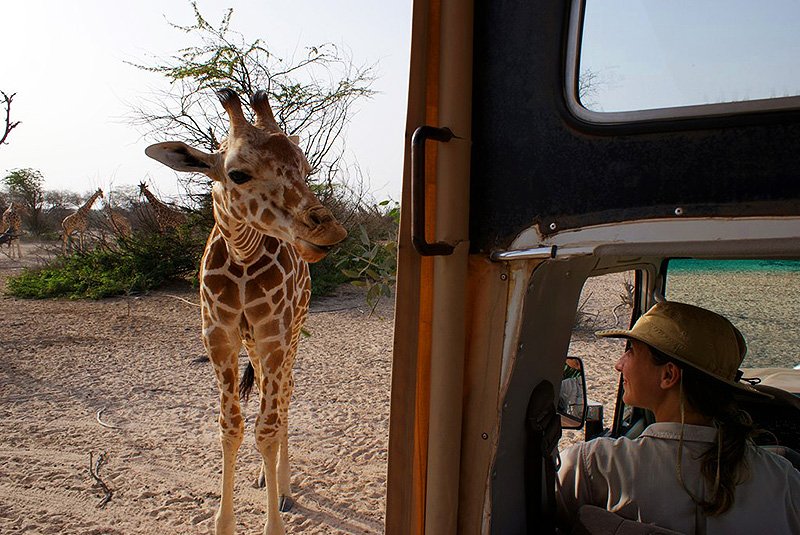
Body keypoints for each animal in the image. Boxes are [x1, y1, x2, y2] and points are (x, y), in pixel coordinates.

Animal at [145, 88, 346, 535]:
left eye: (305, 167)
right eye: (237, 174)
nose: (329, 231)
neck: (241, 256)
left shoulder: (274, 334)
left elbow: (266, 429)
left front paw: (274, 522)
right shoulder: (219, 337)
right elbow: (230, 427)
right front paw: (224, 522)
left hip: (291, 333)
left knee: (285, 396)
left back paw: (284, 487)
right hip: (253, 343)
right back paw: (264, 478)